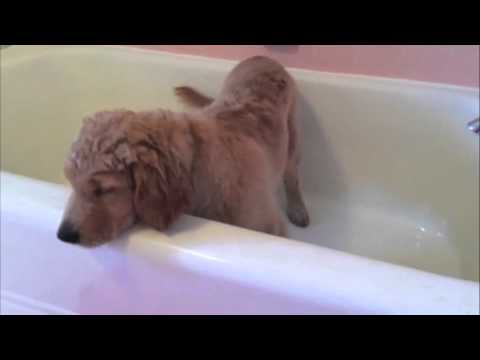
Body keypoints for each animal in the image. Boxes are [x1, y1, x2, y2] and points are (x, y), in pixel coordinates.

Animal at [58, 56, 310, 246]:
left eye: (103, 190)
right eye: (71, 182)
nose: (63, 235)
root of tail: (262, 57)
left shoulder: (271, 226)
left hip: (293, 142)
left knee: (292, 179)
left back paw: (298, 209)